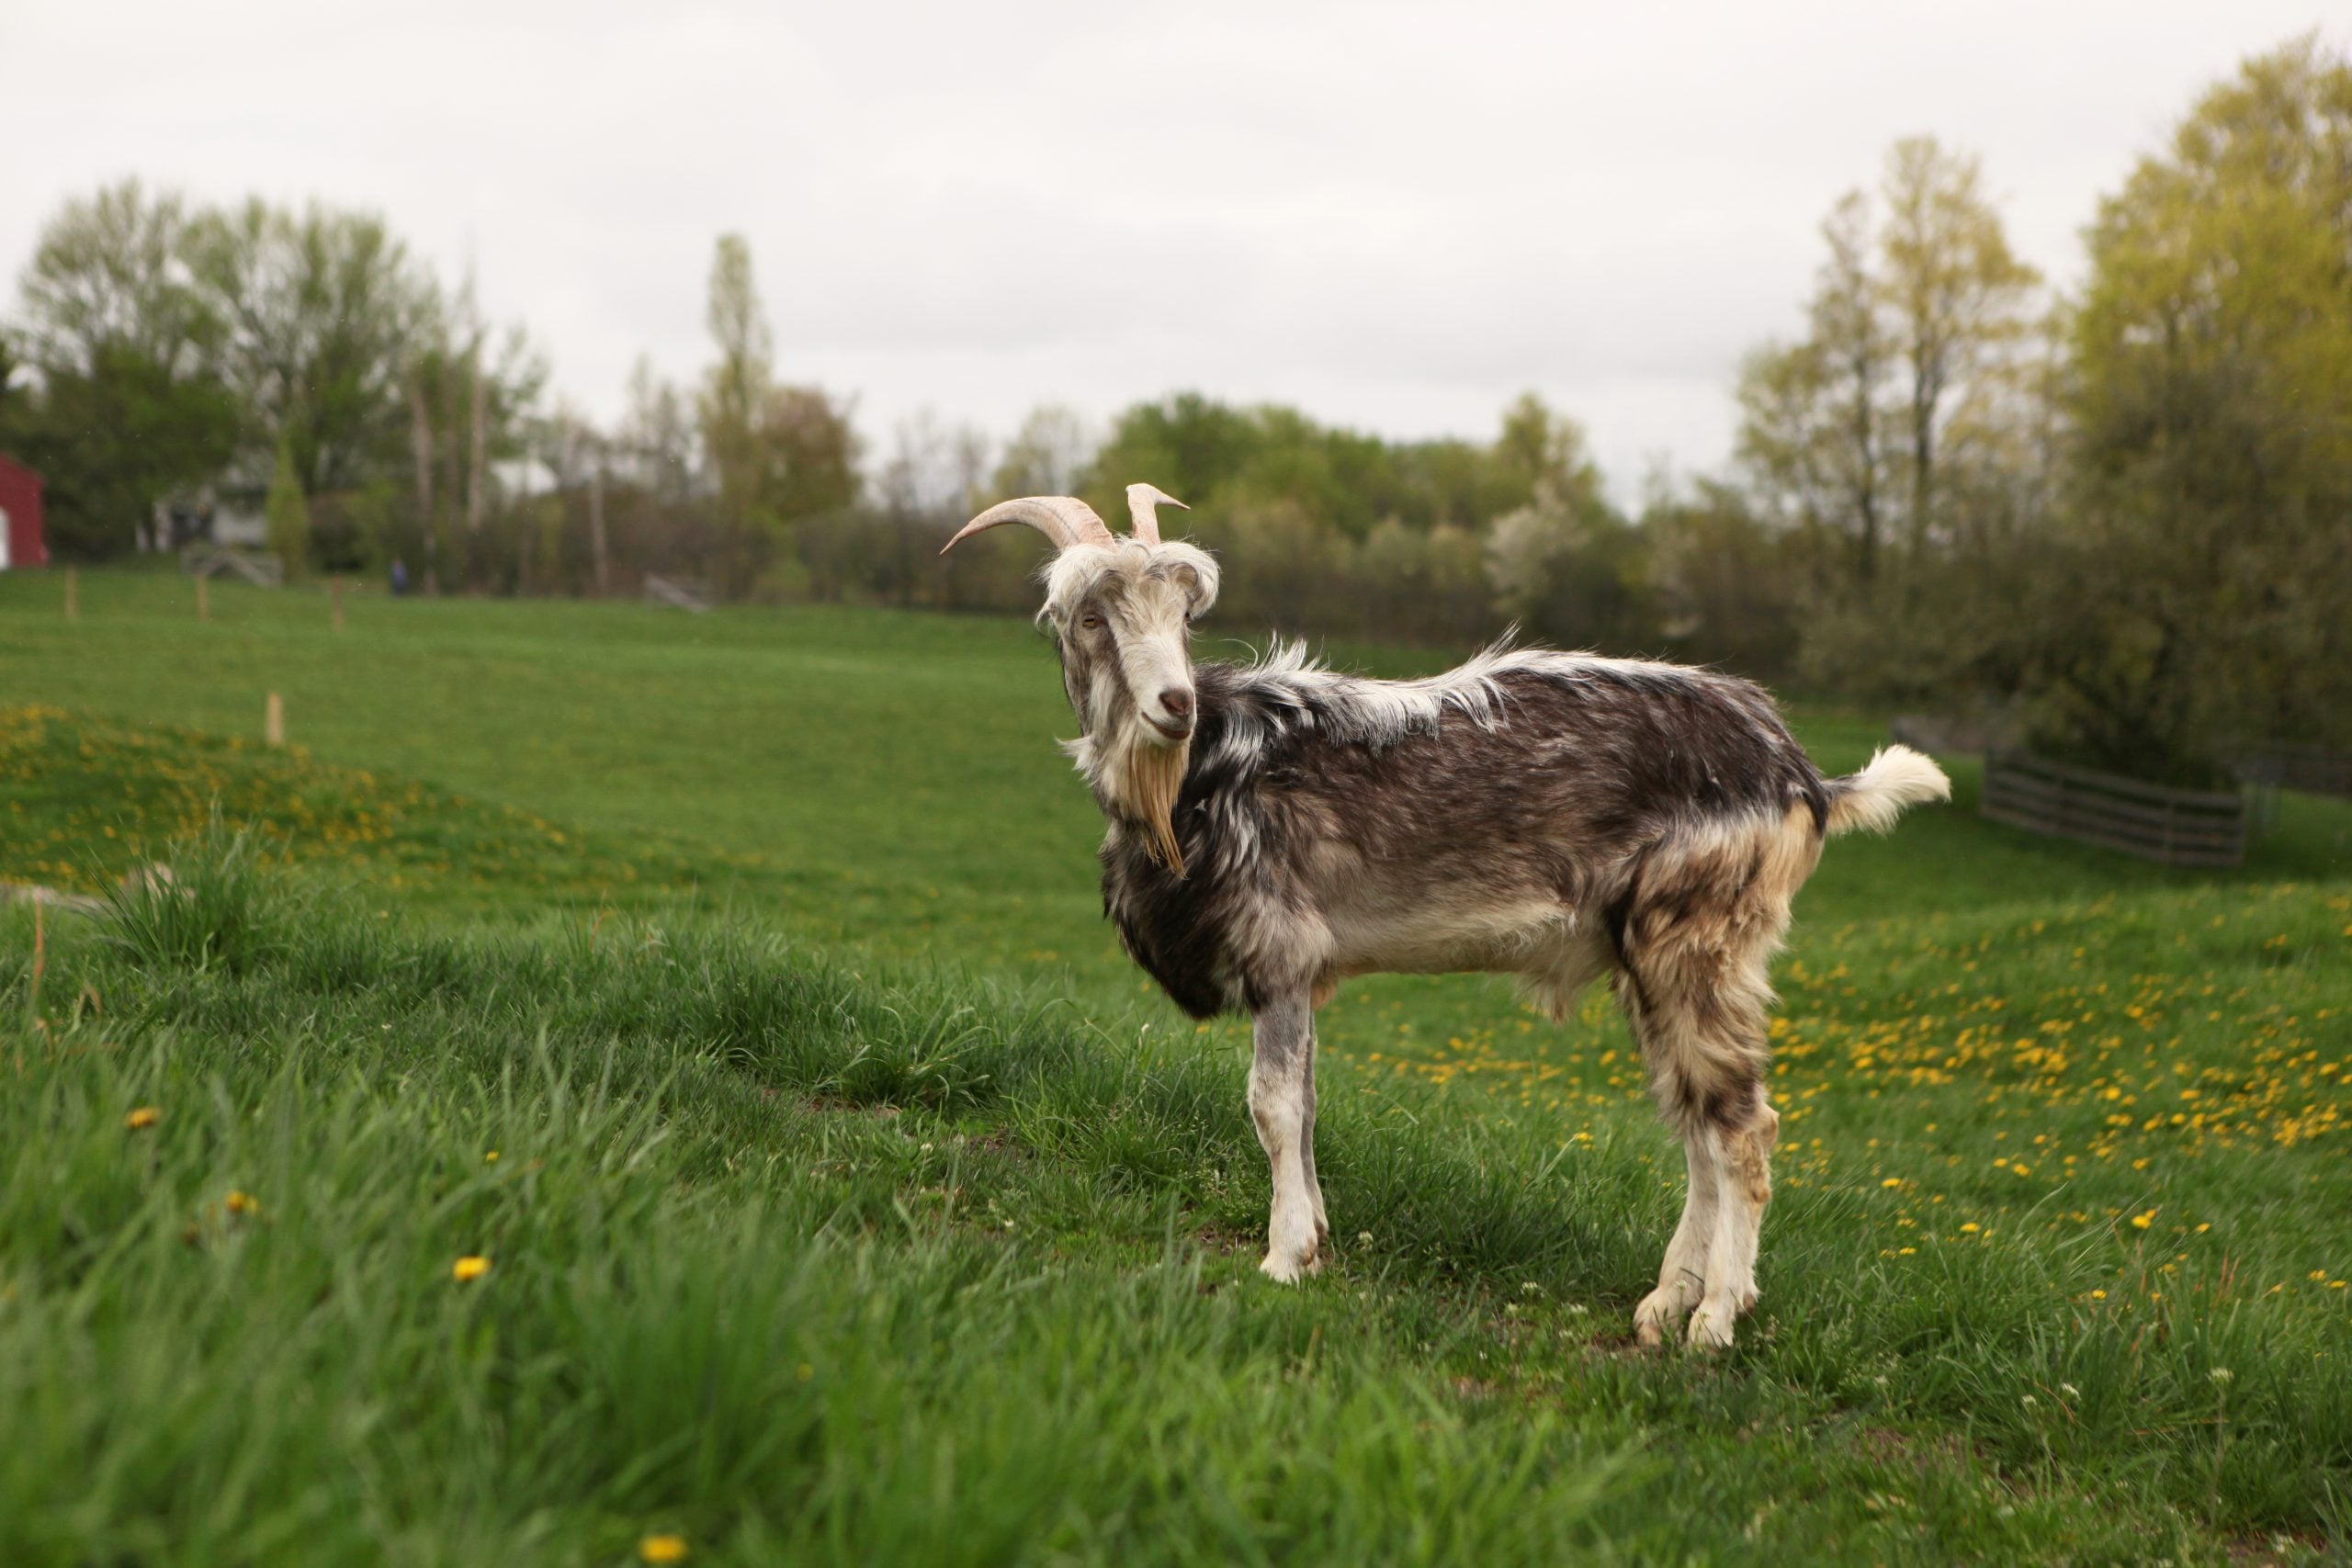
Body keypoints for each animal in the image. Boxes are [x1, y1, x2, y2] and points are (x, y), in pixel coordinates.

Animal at [942, 487, 1950, 1350]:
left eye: (1183, 617)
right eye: (1090, 617)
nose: (1174, 703)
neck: (1205, 771)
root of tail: (1804, 775)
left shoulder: (1277, 951)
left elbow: (1271, 1105)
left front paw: (1280, 1260)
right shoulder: (1301, 973)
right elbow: (1307, 1102)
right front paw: (1314, 1241)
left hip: (1701, 938)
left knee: (1742, 1127)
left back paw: (1715, 1320)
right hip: (1654, 956)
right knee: (1697, 1123)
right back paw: (1665, 1303)